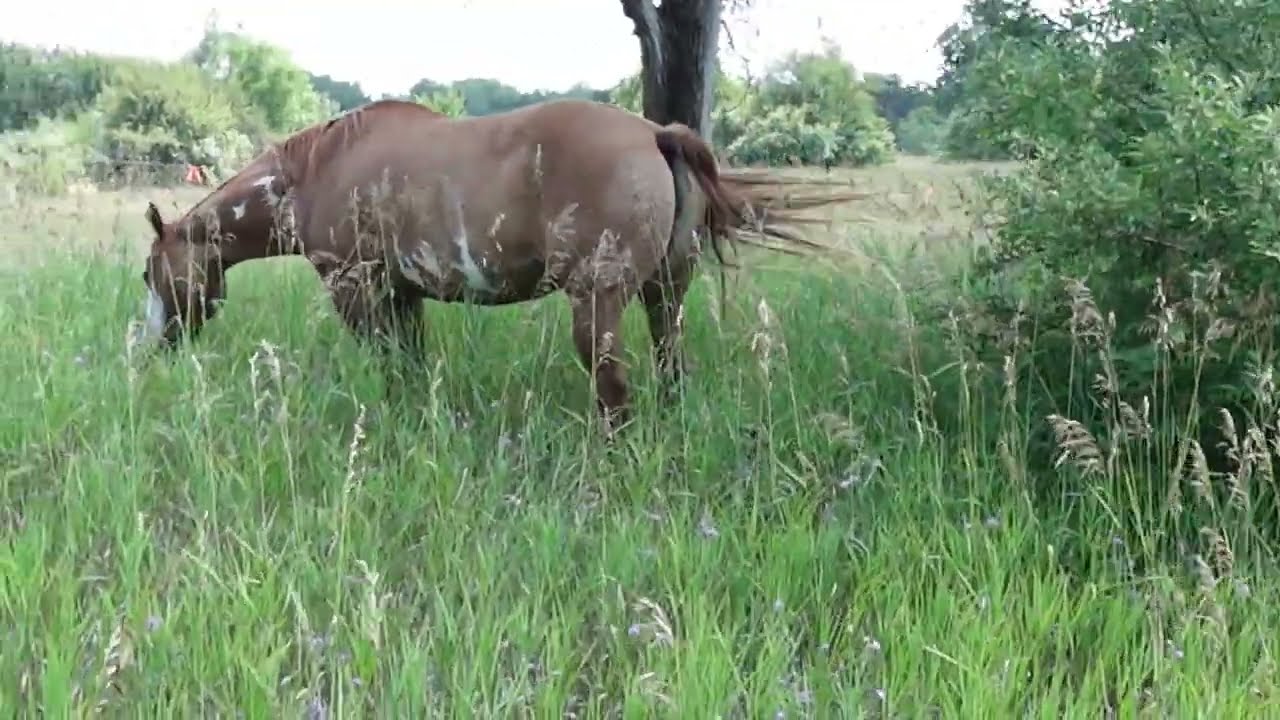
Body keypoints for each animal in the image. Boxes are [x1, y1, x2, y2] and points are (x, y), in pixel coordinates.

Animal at [132, 98, 858, 432]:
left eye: (147, 274)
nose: (150, 347)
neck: (310, 174)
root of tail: (656, 133)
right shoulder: (404, 296)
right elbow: (408, 369)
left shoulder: (357, 290)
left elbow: (389, 366)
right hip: (665, 294)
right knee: (671, 367)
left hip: (598, 303)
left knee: (614, 390)